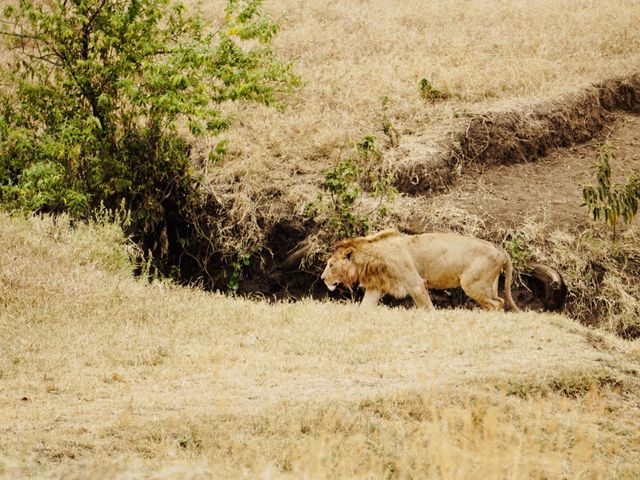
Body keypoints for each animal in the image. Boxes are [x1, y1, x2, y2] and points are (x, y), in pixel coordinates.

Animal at [320, 229, 520, 312]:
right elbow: (365, 307)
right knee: (496, 302)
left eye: (330, 265)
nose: (322, 278)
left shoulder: (415, 284)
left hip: (472, 283)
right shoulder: (376, 287)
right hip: (488, 285)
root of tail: (499, 249)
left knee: (498, 303)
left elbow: (427, 307)